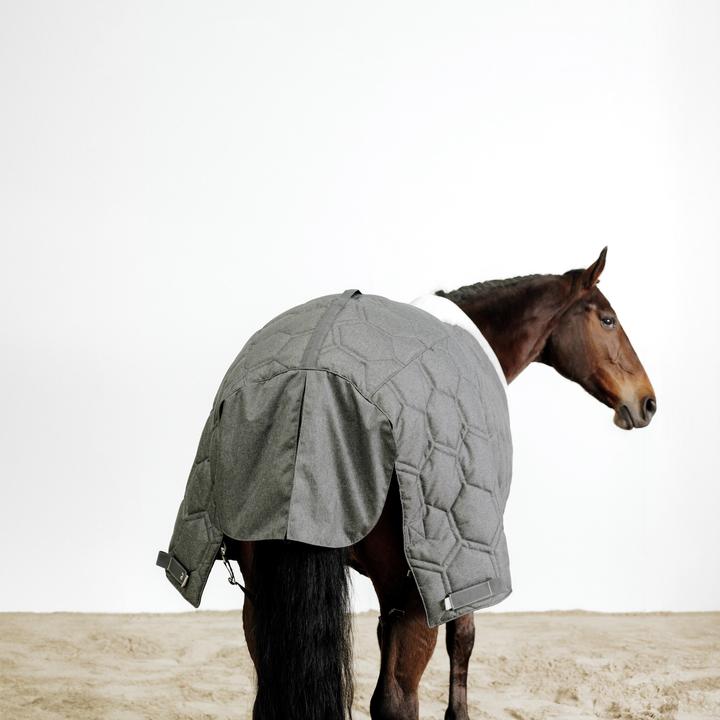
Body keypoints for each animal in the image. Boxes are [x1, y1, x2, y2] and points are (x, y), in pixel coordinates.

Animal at [223, 247, 656, 720]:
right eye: (608, 320)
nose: (647, 401)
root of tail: (313, 379)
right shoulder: (462, 567)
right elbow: (462, 639)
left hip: (263, 596)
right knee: (396, 700)